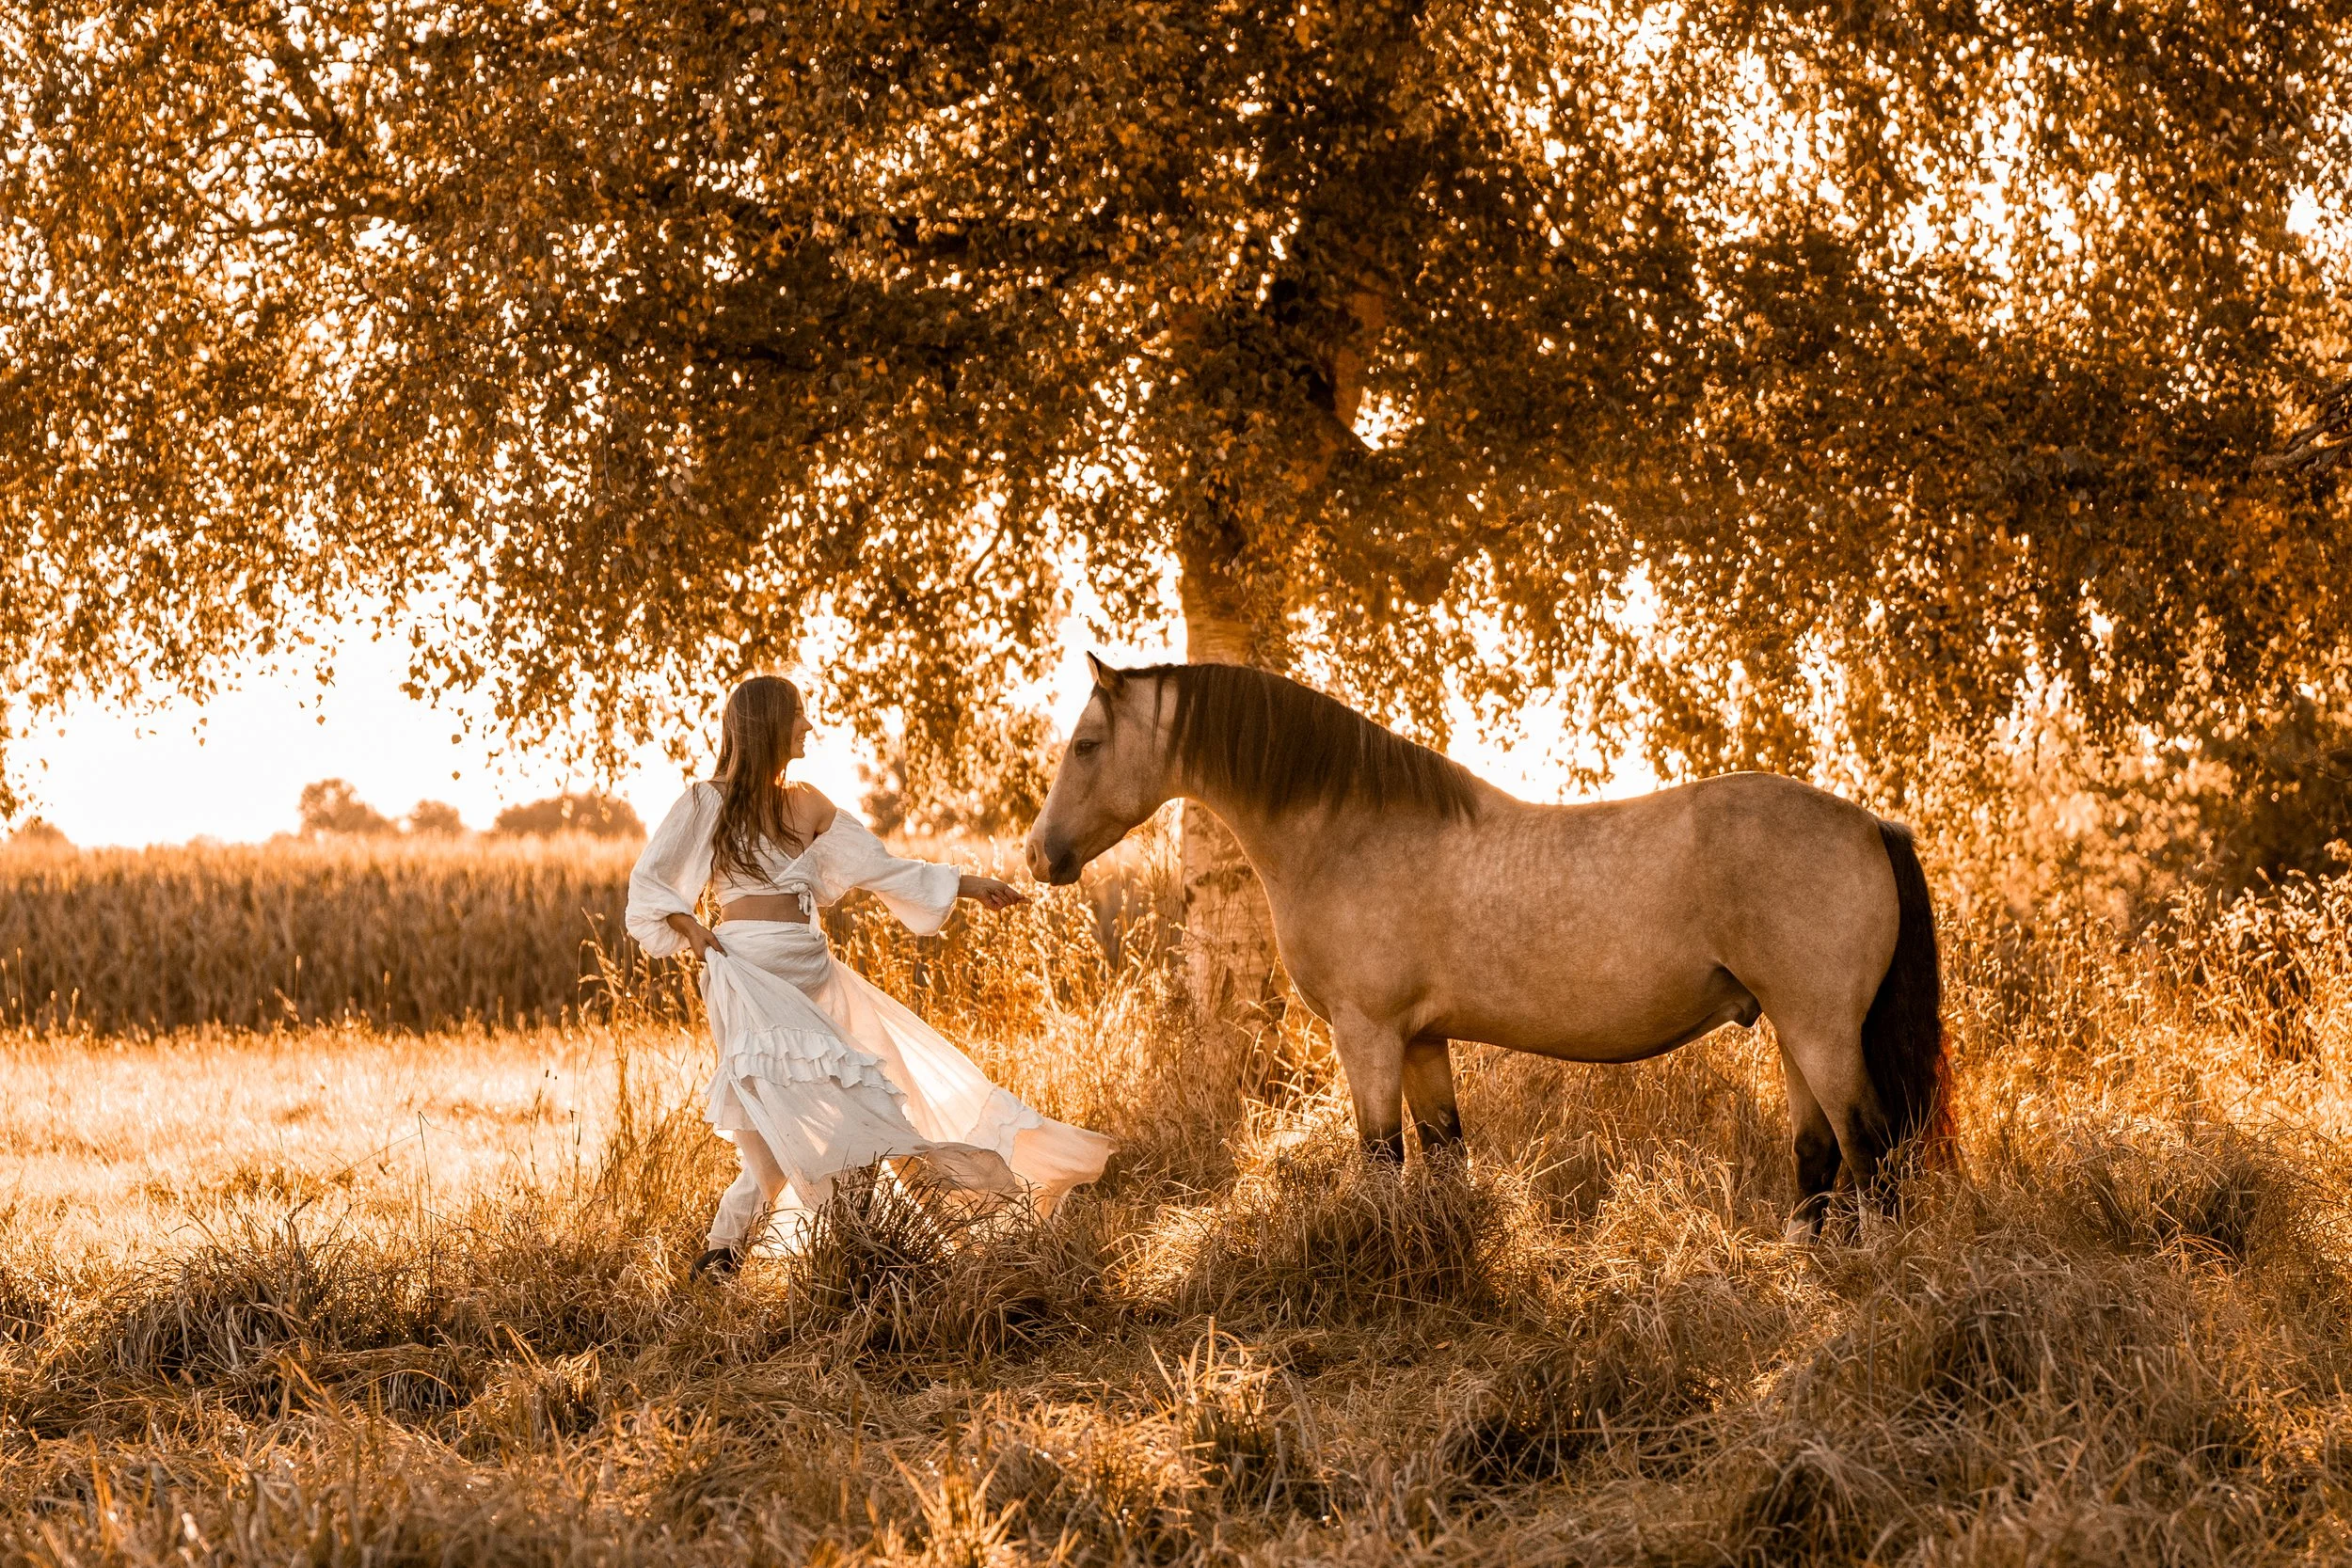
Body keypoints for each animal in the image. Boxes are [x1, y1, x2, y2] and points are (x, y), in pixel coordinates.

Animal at [1024, 656, 1948, 1231]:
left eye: (1086, 744)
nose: (1039, 855)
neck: (1349, 831)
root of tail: (1871, 823)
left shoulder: (1366, 1035)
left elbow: (1382, 1158)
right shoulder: (1422, 1040)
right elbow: (1443, 1153)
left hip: (1823, 1032)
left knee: (1872, 1150)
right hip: (1795, 1031)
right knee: (1818, 1154)